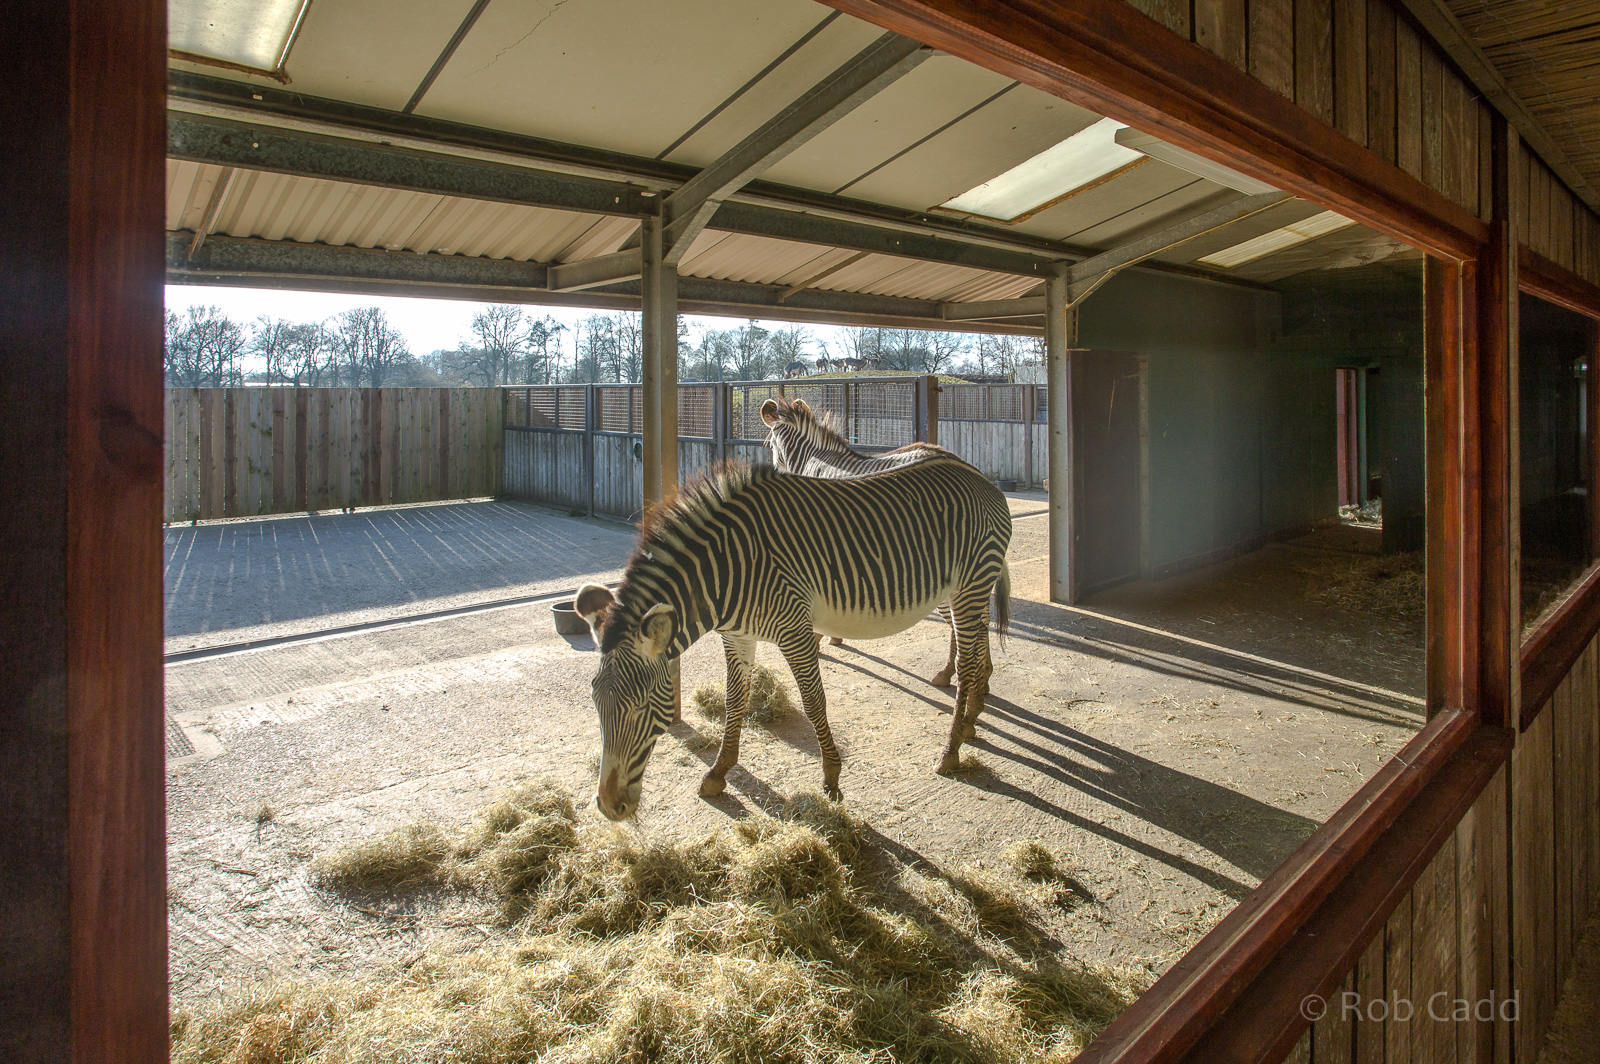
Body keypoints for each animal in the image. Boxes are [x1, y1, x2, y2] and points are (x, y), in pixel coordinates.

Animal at [574, 459, 1011, 820]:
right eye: (595, 703)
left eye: (641, 707)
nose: (609, 807)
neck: (728, 571)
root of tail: (980, 478)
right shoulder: (737, 638)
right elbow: (735, 702)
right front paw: (718, 772)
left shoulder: (795, 631)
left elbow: (814, 701)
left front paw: (832, 779)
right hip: (961, 592)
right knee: (977, 649)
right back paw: (971, 722)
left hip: (970, 584)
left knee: (967, 664)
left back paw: (951, 751)